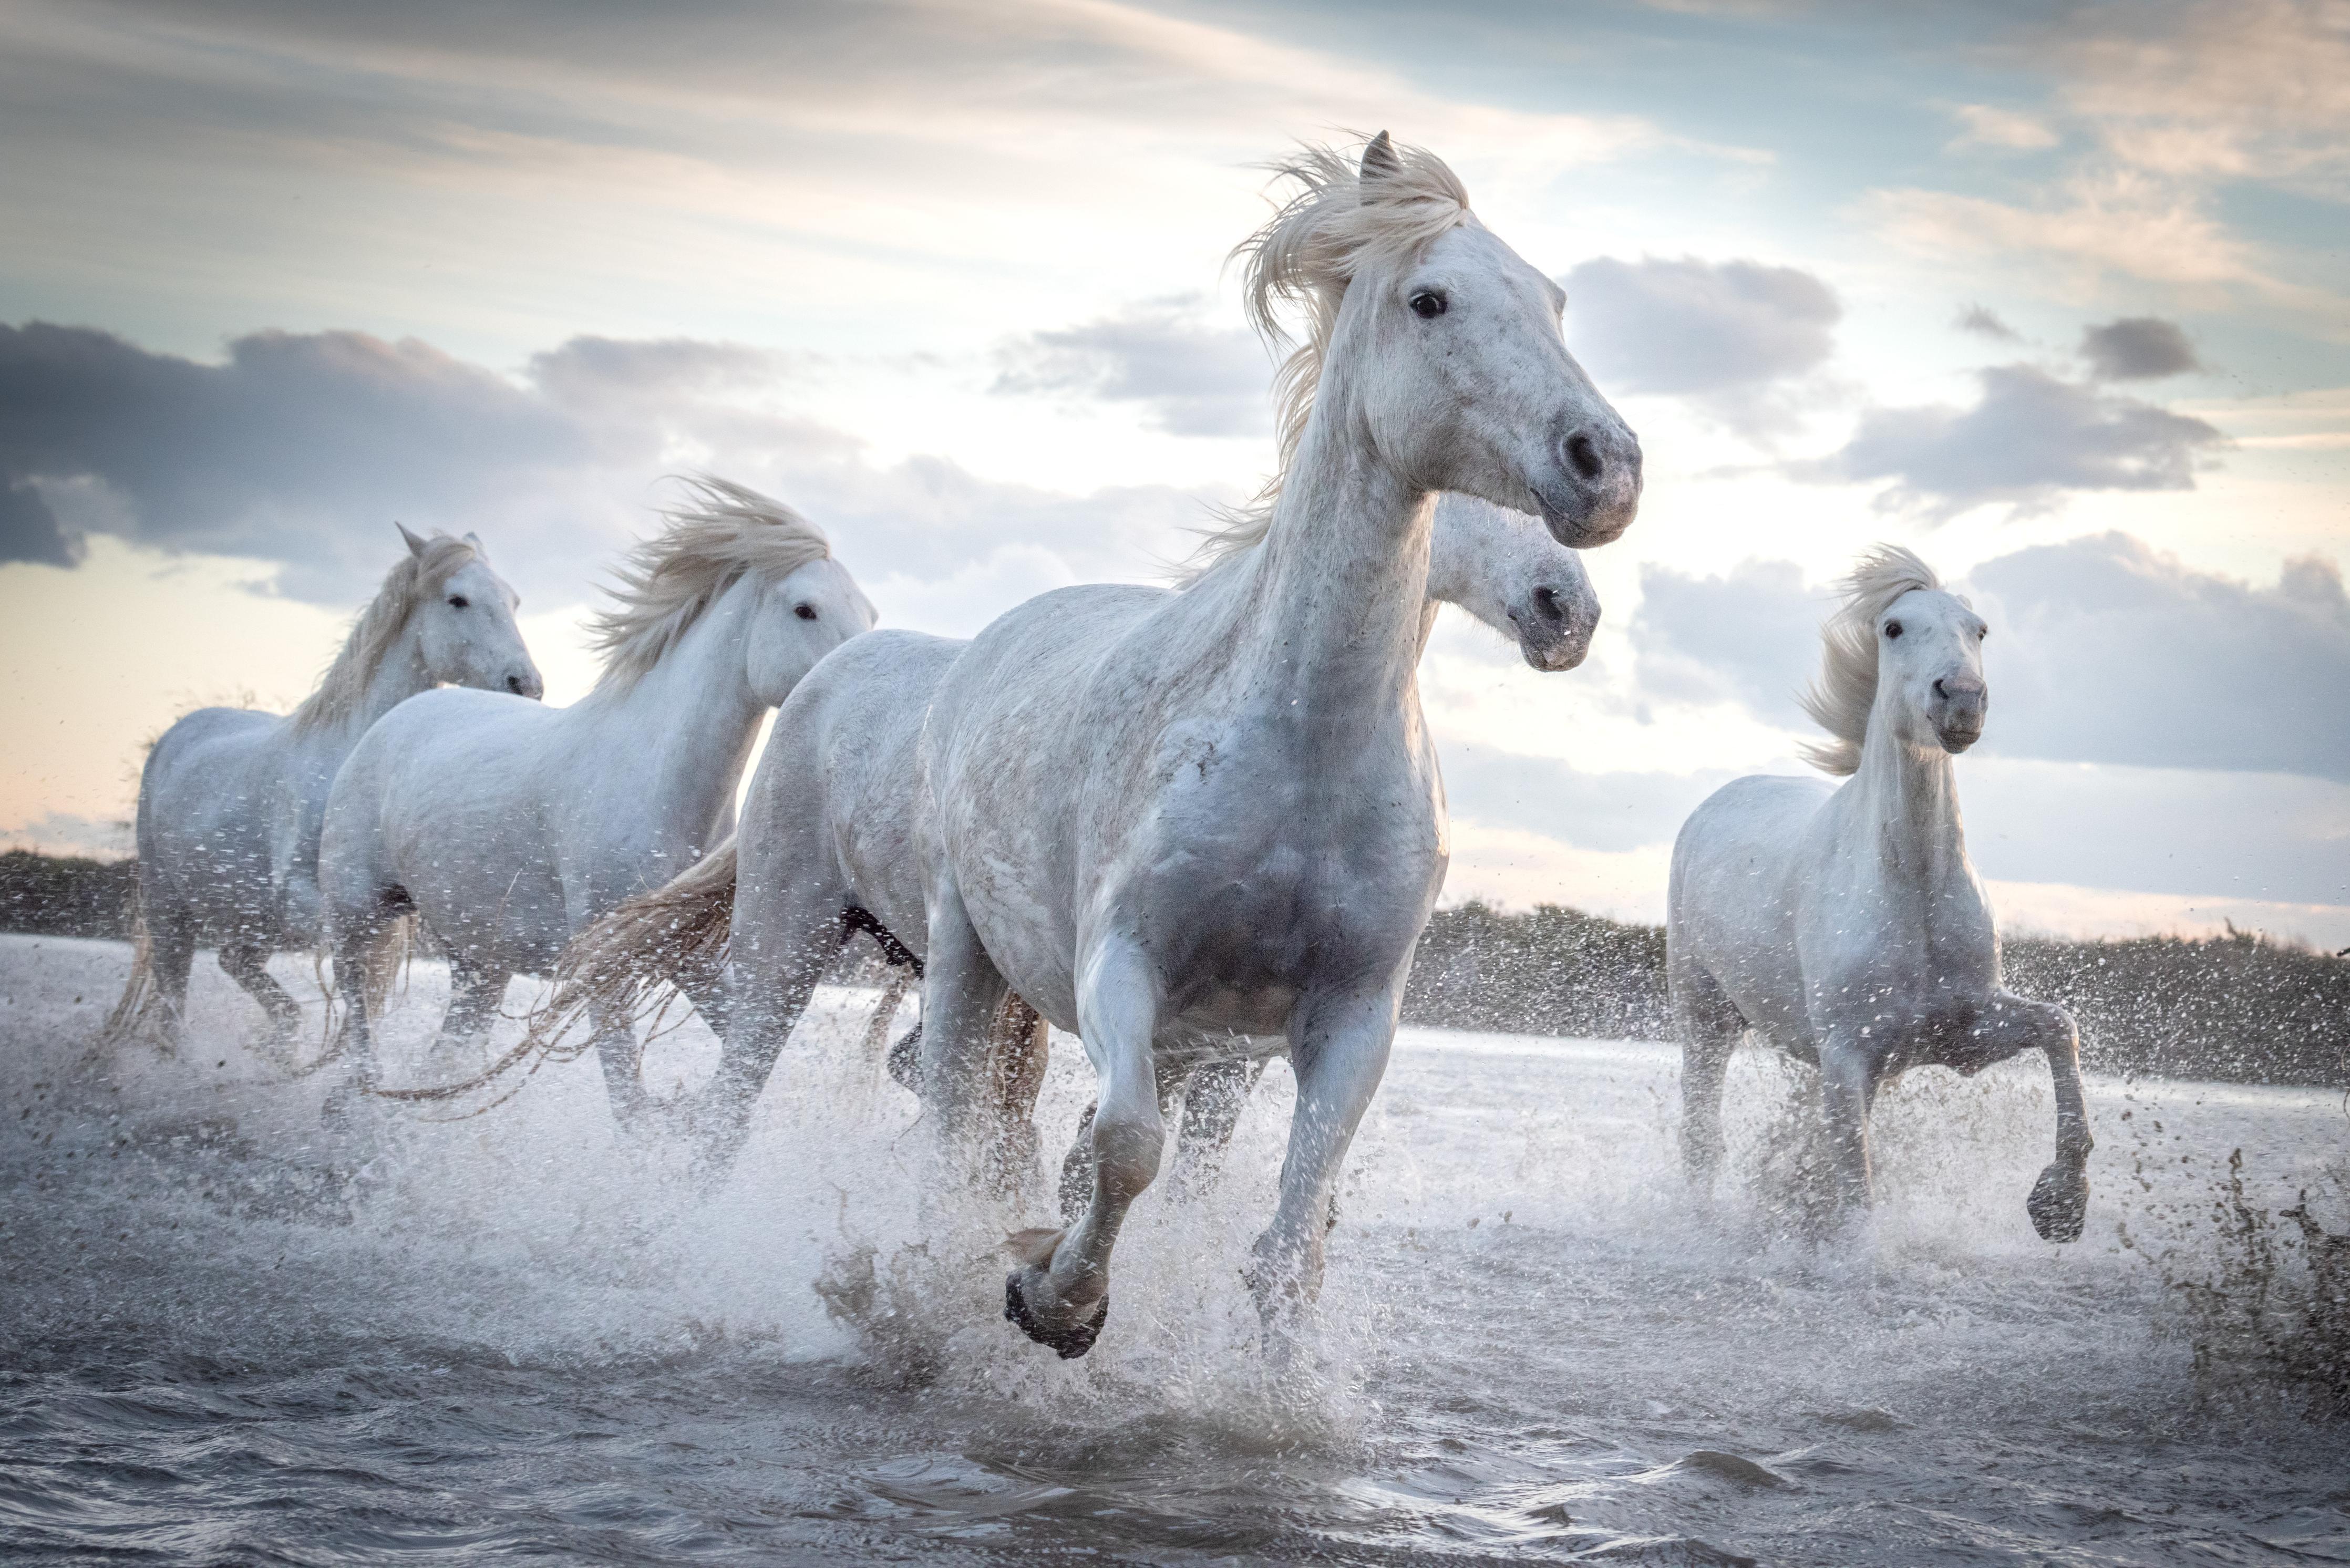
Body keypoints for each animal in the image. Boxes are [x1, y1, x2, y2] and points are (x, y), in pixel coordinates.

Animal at [108, 527, 538, 1053]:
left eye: (514, 600)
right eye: (457, 599)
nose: (527, 685)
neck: (351, 759)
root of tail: (177, 734)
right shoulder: (306, 901)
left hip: (248, 922)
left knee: (239, 967)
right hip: (170, 912)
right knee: (175, 1004)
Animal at [317, 479, 879, 1114]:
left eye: (870, 611)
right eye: (805, 608)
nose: (857, 690)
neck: (657, 786)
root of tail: (387, 723)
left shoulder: (690, 957)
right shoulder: (605, 969)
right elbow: (629, 1109)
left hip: (476, 957)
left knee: (443, 1056)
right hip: (354, 919)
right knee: (361, 1046)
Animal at [888, 135, 1645, 1354]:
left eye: (1553, 300)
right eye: (1430, 300)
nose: (1605, 468)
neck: (1306, 748)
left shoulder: (1345, 1021)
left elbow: (1290, 1236)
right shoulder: (1123, 965)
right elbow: (1125, 1148)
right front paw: (1054, 1299)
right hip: (965, 949)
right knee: (951, 1119)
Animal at [1673, 545, 2096, 1241]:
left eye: (1978, 629)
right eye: (1893, 628)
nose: (1961, 700)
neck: (1912, 891)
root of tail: (1718, 800)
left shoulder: (1963, 1033)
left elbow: (2059, 1026)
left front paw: (2059, 1205)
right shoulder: (1848, 1058)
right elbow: (1854, 1190)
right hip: (1703, 1014)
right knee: (1700, 1133)